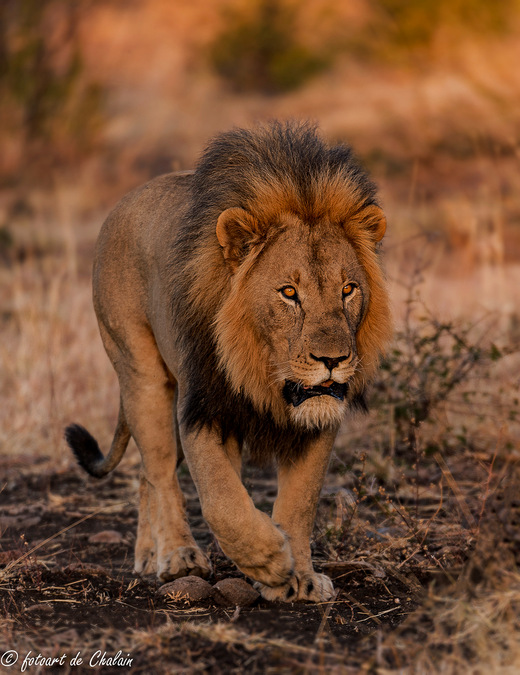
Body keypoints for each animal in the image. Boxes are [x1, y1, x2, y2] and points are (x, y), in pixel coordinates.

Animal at [64, 121, 390, 604]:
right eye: (289, 293)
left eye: (348, 289)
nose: (332, 360)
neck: (261, 371)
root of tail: (123, 202)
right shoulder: (203, 408)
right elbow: (221, 500)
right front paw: (270, 561)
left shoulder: (318, 419)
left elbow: (300, 503)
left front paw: (300, 577)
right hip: (142, 375)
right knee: (160, 471)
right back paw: (176, 556)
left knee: (147, 474)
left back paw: (148, 553)